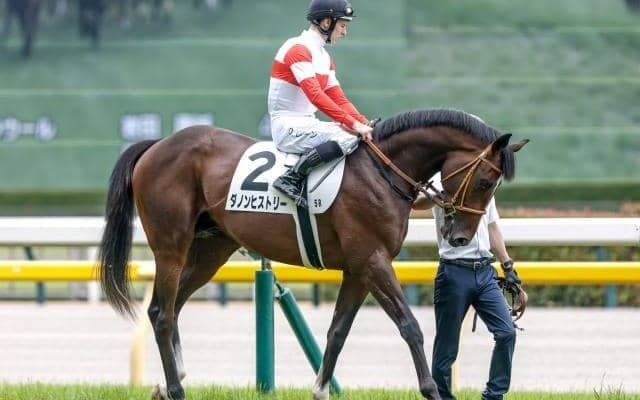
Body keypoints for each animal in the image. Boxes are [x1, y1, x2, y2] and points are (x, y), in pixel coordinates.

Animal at [98, 108, 528, 400]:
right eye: (485, 181)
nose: (459, 237)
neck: (382, 172)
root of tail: (156, 145)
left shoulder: (358, 270)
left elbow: (338, 331)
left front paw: (320, 389)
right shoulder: (373, 262)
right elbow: (410, 326)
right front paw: (431, 389)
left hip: (212, 248)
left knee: (171, 308)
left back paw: (169, 382)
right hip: (171, 246)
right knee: (161, 313)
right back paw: (176, 388)